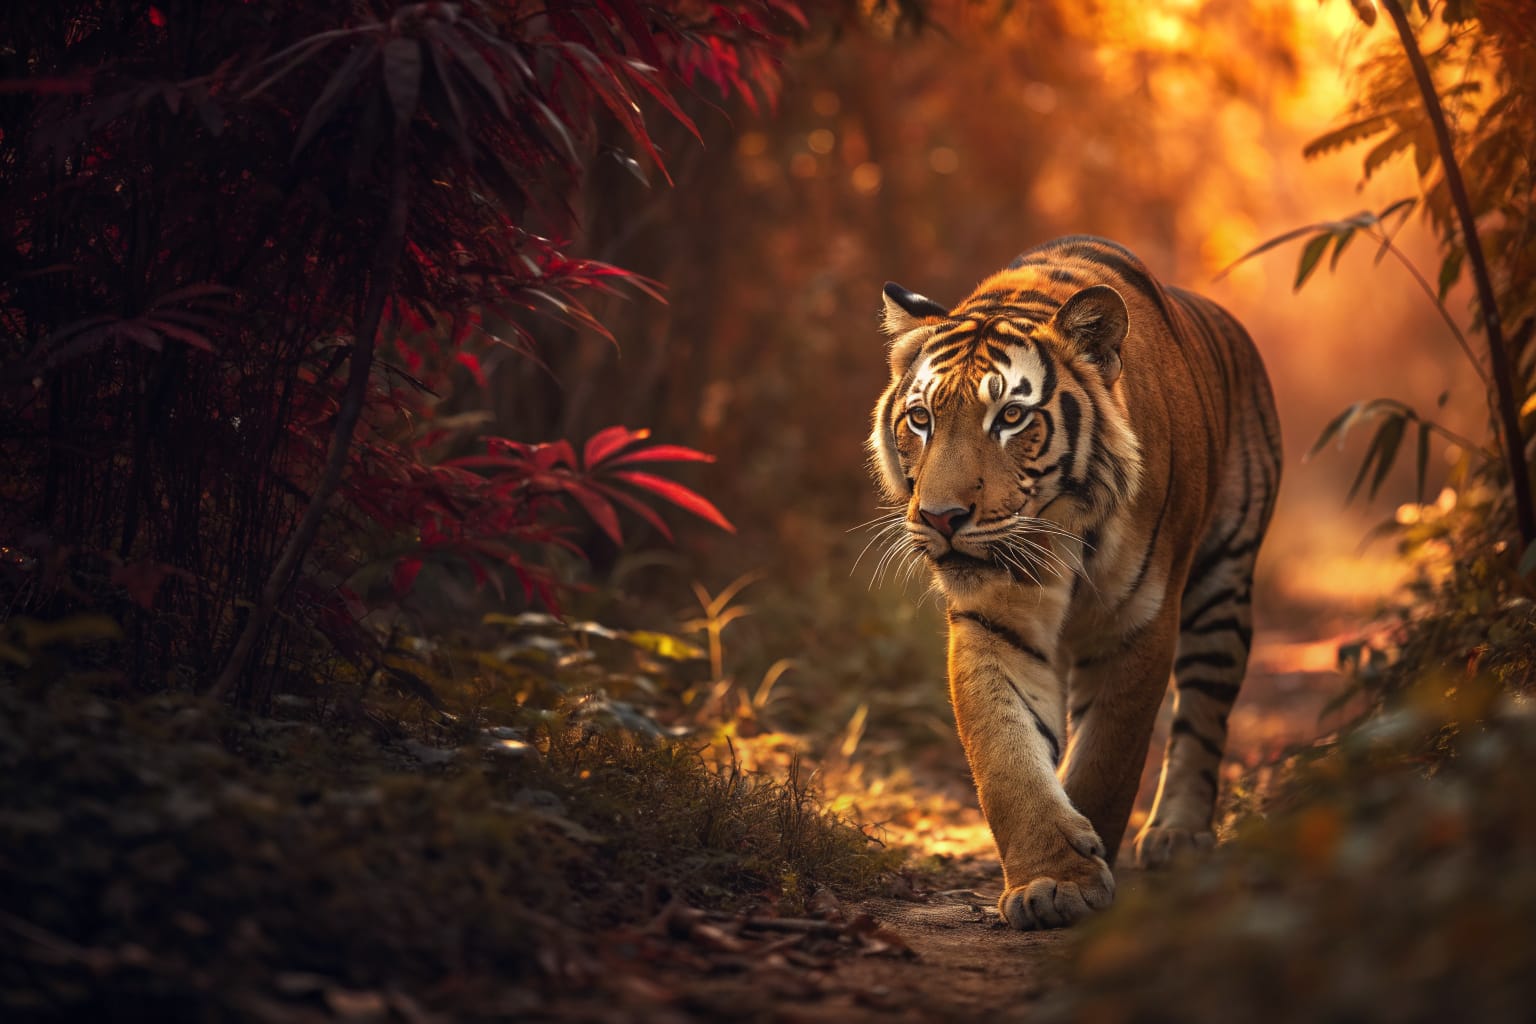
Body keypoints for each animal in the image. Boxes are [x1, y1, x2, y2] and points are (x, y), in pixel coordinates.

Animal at [867, 235, 1281, 930]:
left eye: (1010, 416)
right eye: (921, 419)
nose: (942, 518)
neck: (1059, 531)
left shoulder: (1139, 622)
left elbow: (1107, 757)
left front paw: (1081, 878)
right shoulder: (994, 617)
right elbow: (1006, 754)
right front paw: (1052, 879)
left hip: (1223, 584)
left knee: (1202, 714)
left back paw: (1178, 835)